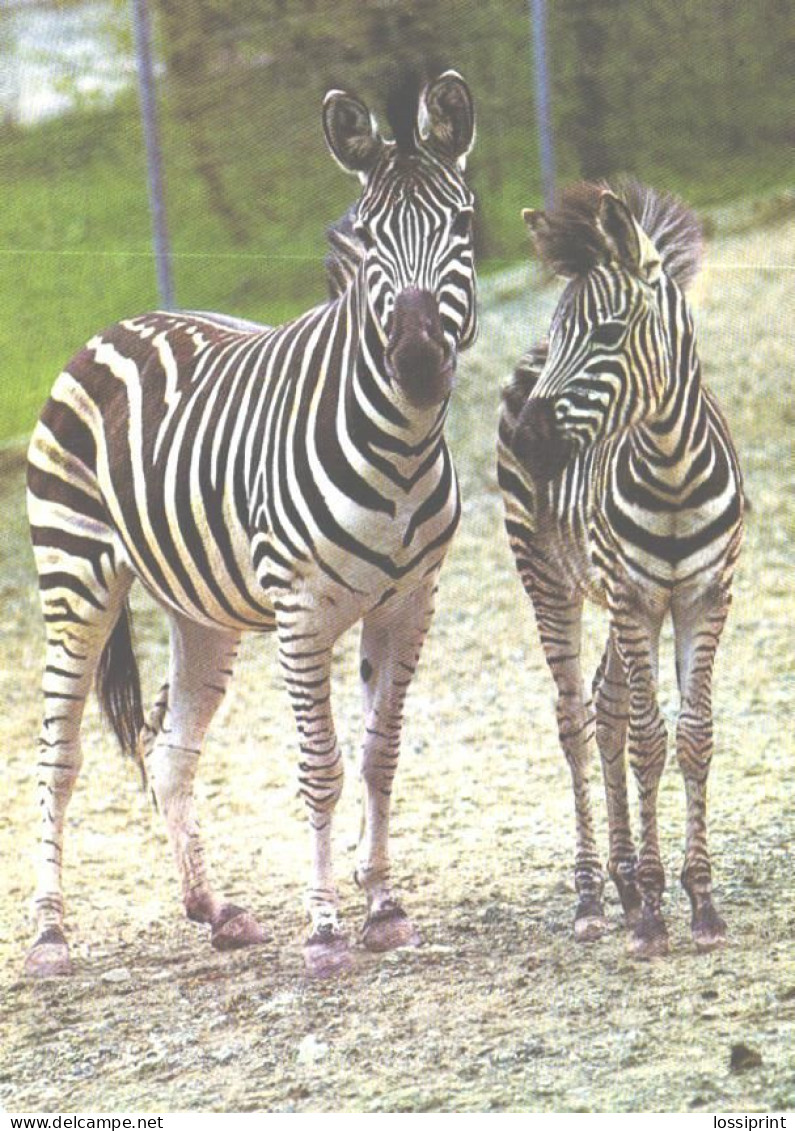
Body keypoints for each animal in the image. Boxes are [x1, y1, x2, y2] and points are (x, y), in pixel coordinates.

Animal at [24, 70, 479, 977]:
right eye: (366, 237)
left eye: (460, 224)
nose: (416, 361)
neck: (403, 451)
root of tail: (115, 326)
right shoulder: (301, 615)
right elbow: (321, 766)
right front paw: (325, 928)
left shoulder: (409, 604)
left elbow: (379, 755)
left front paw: (383, 908)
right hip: (75, 583)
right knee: (61, 757)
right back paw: (51, 933)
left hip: (200, 611)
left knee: (168, 750)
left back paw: (213, 907)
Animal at [497, 180, 746, 959]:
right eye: (565, 331)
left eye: (608, 335)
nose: (529, 443)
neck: (670, 467)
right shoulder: (636, 599)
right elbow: (648, 742)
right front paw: (654, 917)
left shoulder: (703, 596)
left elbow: (691, 737)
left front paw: (698, 902)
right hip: (551, 581)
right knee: (575, 721)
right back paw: (591, 894)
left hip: (607, 594)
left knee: (604, 710)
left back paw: (627, 877)